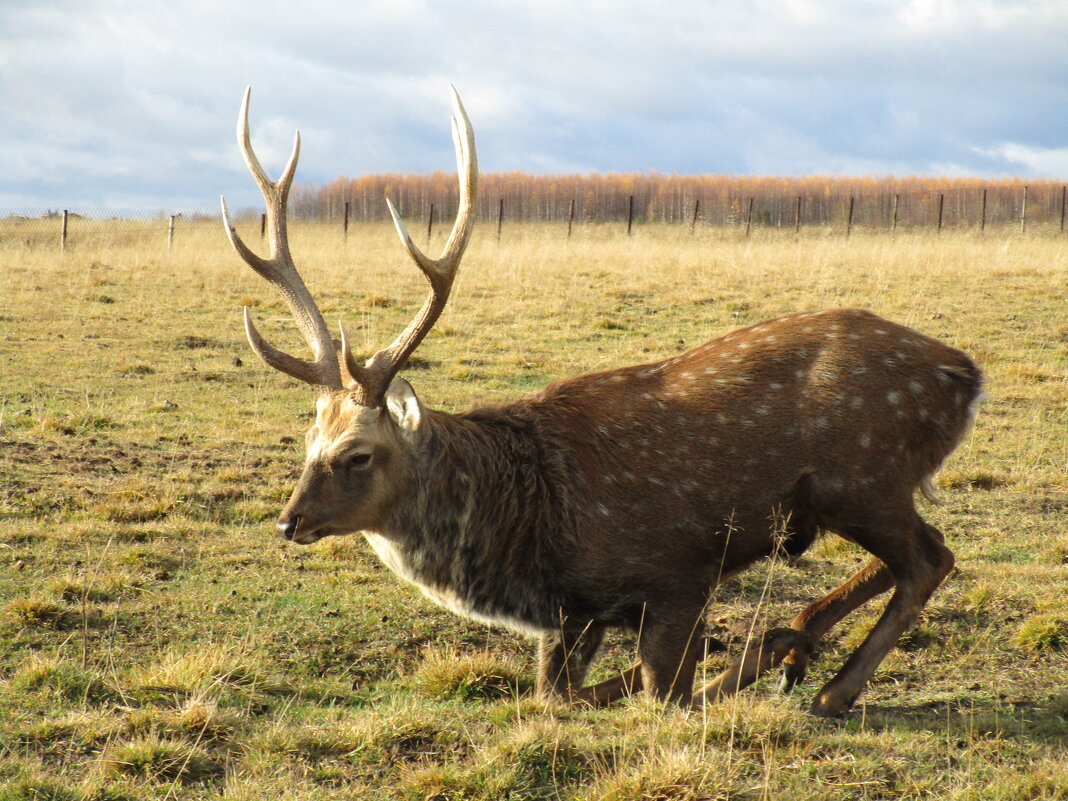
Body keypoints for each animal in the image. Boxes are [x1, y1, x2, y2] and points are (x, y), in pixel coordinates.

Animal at [218, 89, 982, 721]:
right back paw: (801, 647)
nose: (288, 521)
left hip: (863, 476)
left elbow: (658, 690)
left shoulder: (678, 571)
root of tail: (964, 375)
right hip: (851, 495)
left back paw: (829, 685)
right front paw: (768, 647)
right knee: (904, 560)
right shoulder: (573, 614)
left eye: (358, 454)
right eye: (309, 441)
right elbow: (556, 695)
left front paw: (751, 652)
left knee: (929, 558)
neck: (529, 541)